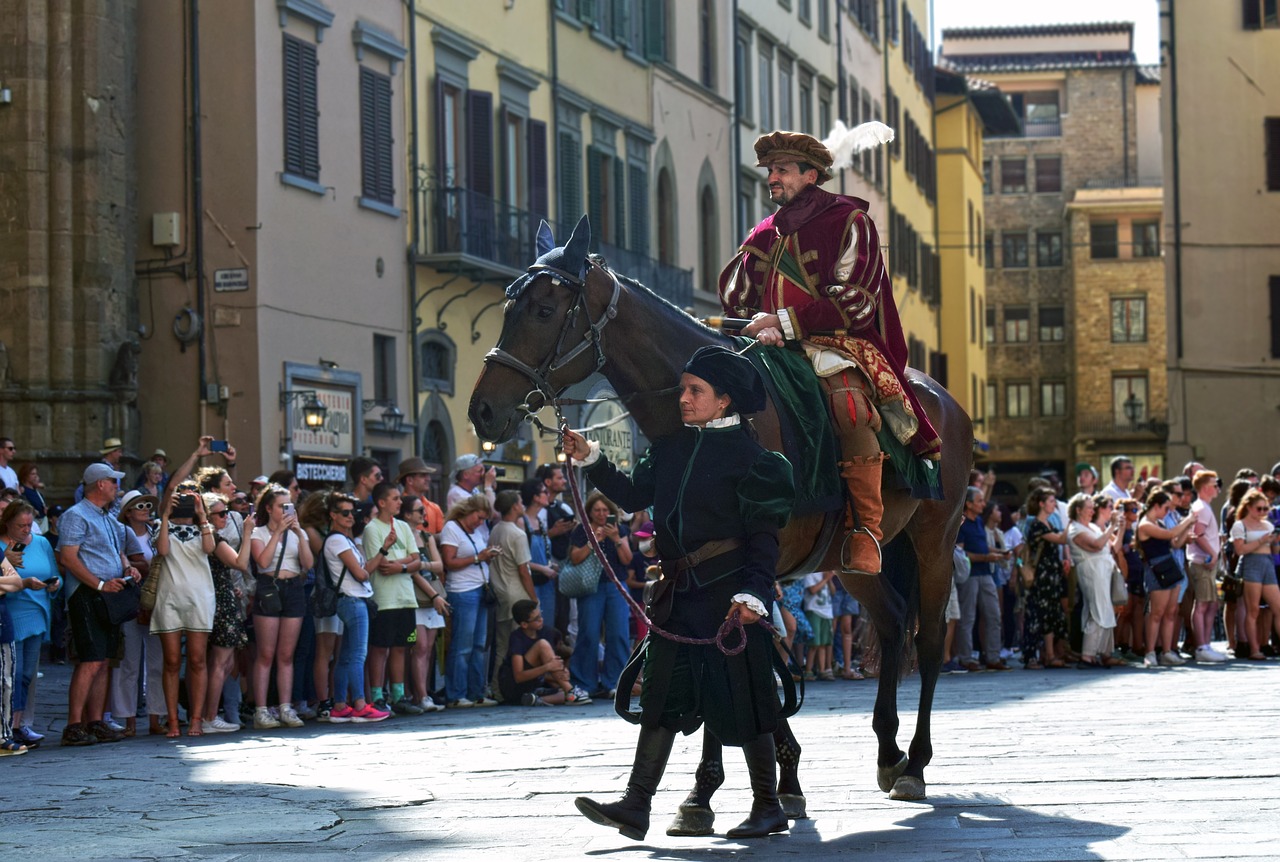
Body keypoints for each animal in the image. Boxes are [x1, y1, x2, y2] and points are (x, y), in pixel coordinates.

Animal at [471, 215, 967, 809]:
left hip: (936, 540)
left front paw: (728, 785)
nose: (482, 410)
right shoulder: (704, 565)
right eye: (507, 307)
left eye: (544, 310)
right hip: (852, 562)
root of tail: (941, 400)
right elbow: (729, 654)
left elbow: (734, 658)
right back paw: (888, 752)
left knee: (929, 639)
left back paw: (915, 761)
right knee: (892, 623)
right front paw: (773, 774)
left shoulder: (745, 562)